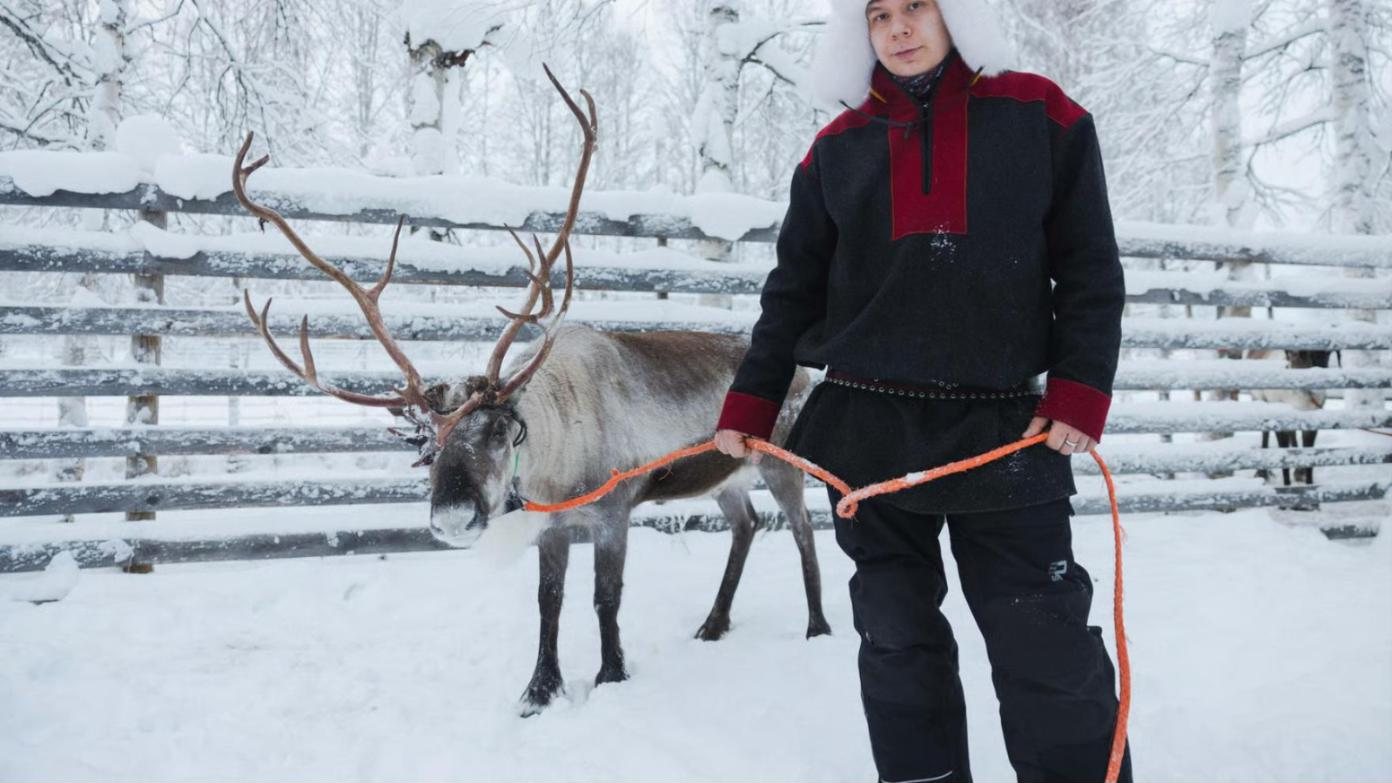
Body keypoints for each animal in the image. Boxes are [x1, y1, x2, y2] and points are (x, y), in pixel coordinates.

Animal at [230, 65, 830, 716]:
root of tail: (805, 373)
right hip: (726, 477)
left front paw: (611, 675)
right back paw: (713, 624)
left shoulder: (612, 513)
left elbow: (605, 598)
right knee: (746, 524)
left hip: (782, 464)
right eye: (426, 447)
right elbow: (549, 603)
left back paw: (818, 627)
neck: (557, 459)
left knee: (801, 531)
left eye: (497, 430)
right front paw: (540, 690)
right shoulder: (555, 526)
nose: (453, 519)